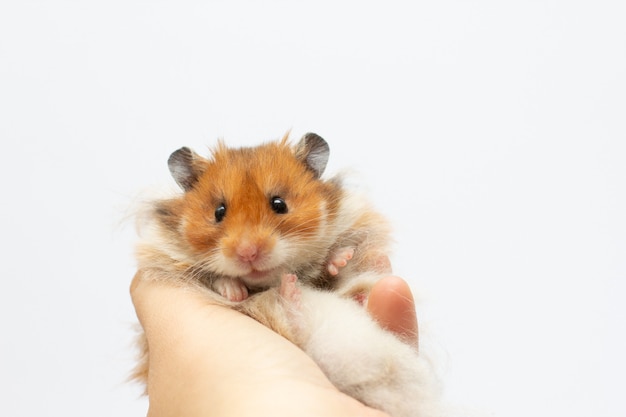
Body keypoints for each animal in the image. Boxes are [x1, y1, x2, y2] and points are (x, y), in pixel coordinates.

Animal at [132, 132, 442, 416]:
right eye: (219, 211)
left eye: (279, 204)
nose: (248, 252)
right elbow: (215, 278)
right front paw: (235, 291)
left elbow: (331, 270)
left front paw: (340, 259)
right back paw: (289, 291)